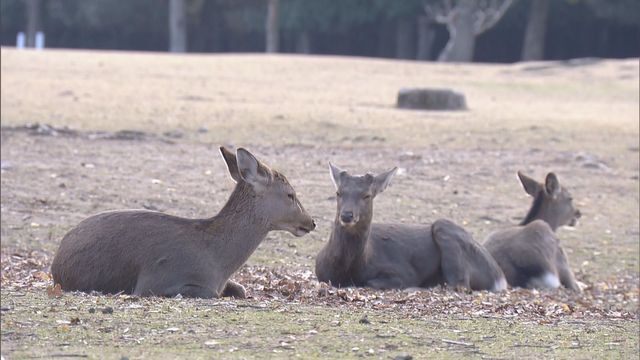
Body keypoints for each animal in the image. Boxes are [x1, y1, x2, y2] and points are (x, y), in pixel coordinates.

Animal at [51, 146, 316, 298]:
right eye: (290, 194)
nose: (311, 222)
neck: (218, 263)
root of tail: (56, 262)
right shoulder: (154, 280)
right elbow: (211, 294)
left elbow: (241, 289)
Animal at [314, 165, 504, 292]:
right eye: (339, 193)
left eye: (366, 195)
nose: (347, 215)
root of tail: (500, 277)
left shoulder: (403, 272)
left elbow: (371, 282)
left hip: (445, 229)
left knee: (460, 285)